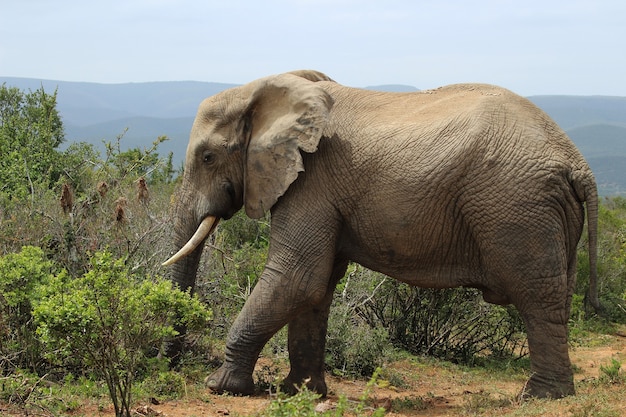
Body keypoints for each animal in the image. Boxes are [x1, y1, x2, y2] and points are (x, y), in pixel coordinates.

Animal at [163, 70, 596, 398]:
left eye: (207, 157)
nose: (169, 362)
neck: (268, 89)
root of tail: (578, 164)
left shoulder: (312, 180)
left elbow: (298, 277)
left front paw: (220, 386)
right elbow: (317, 287)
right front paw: (301, 392)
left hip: (518, 205)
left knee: (536, 295)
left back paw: (540, 396)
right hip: (545, 212)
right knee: (556, 297)